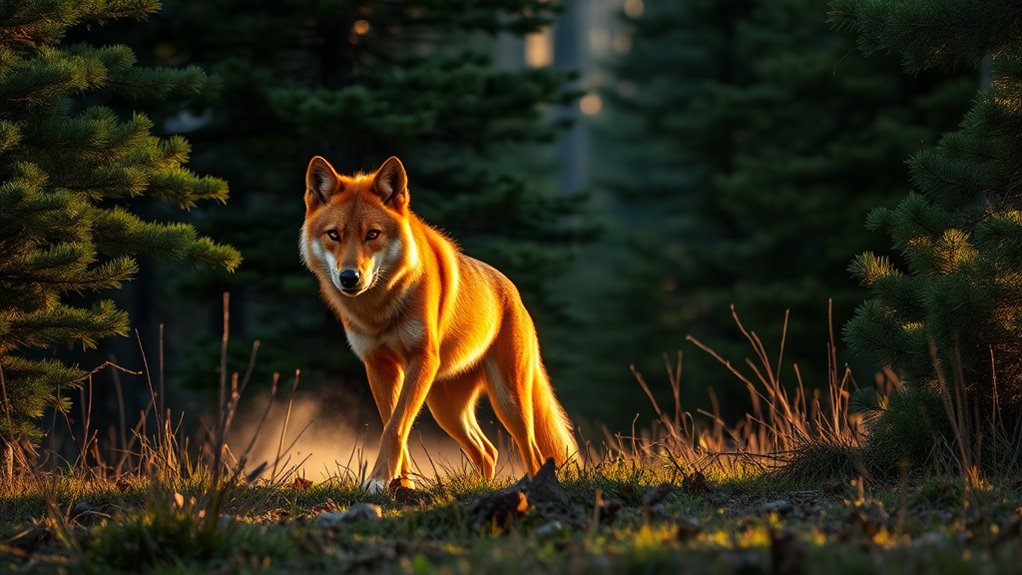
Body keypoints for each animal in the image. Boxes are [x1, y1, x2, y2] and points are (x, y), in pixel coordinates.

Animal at [300, 155, 578, 489]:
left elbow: (395, 427)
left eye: (372, 234)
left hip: (507, 402)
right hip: (445, 409)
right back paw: (480, 485)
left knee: (531, 450)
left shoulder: (421, 359)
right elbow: (393, 426)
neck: (379, 311)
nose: (349, 277)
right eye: (334, 234)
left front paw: (380, 480)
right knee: (488, 450)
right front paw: (399, 485)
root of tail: (513, 291)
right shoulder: (378, 366)